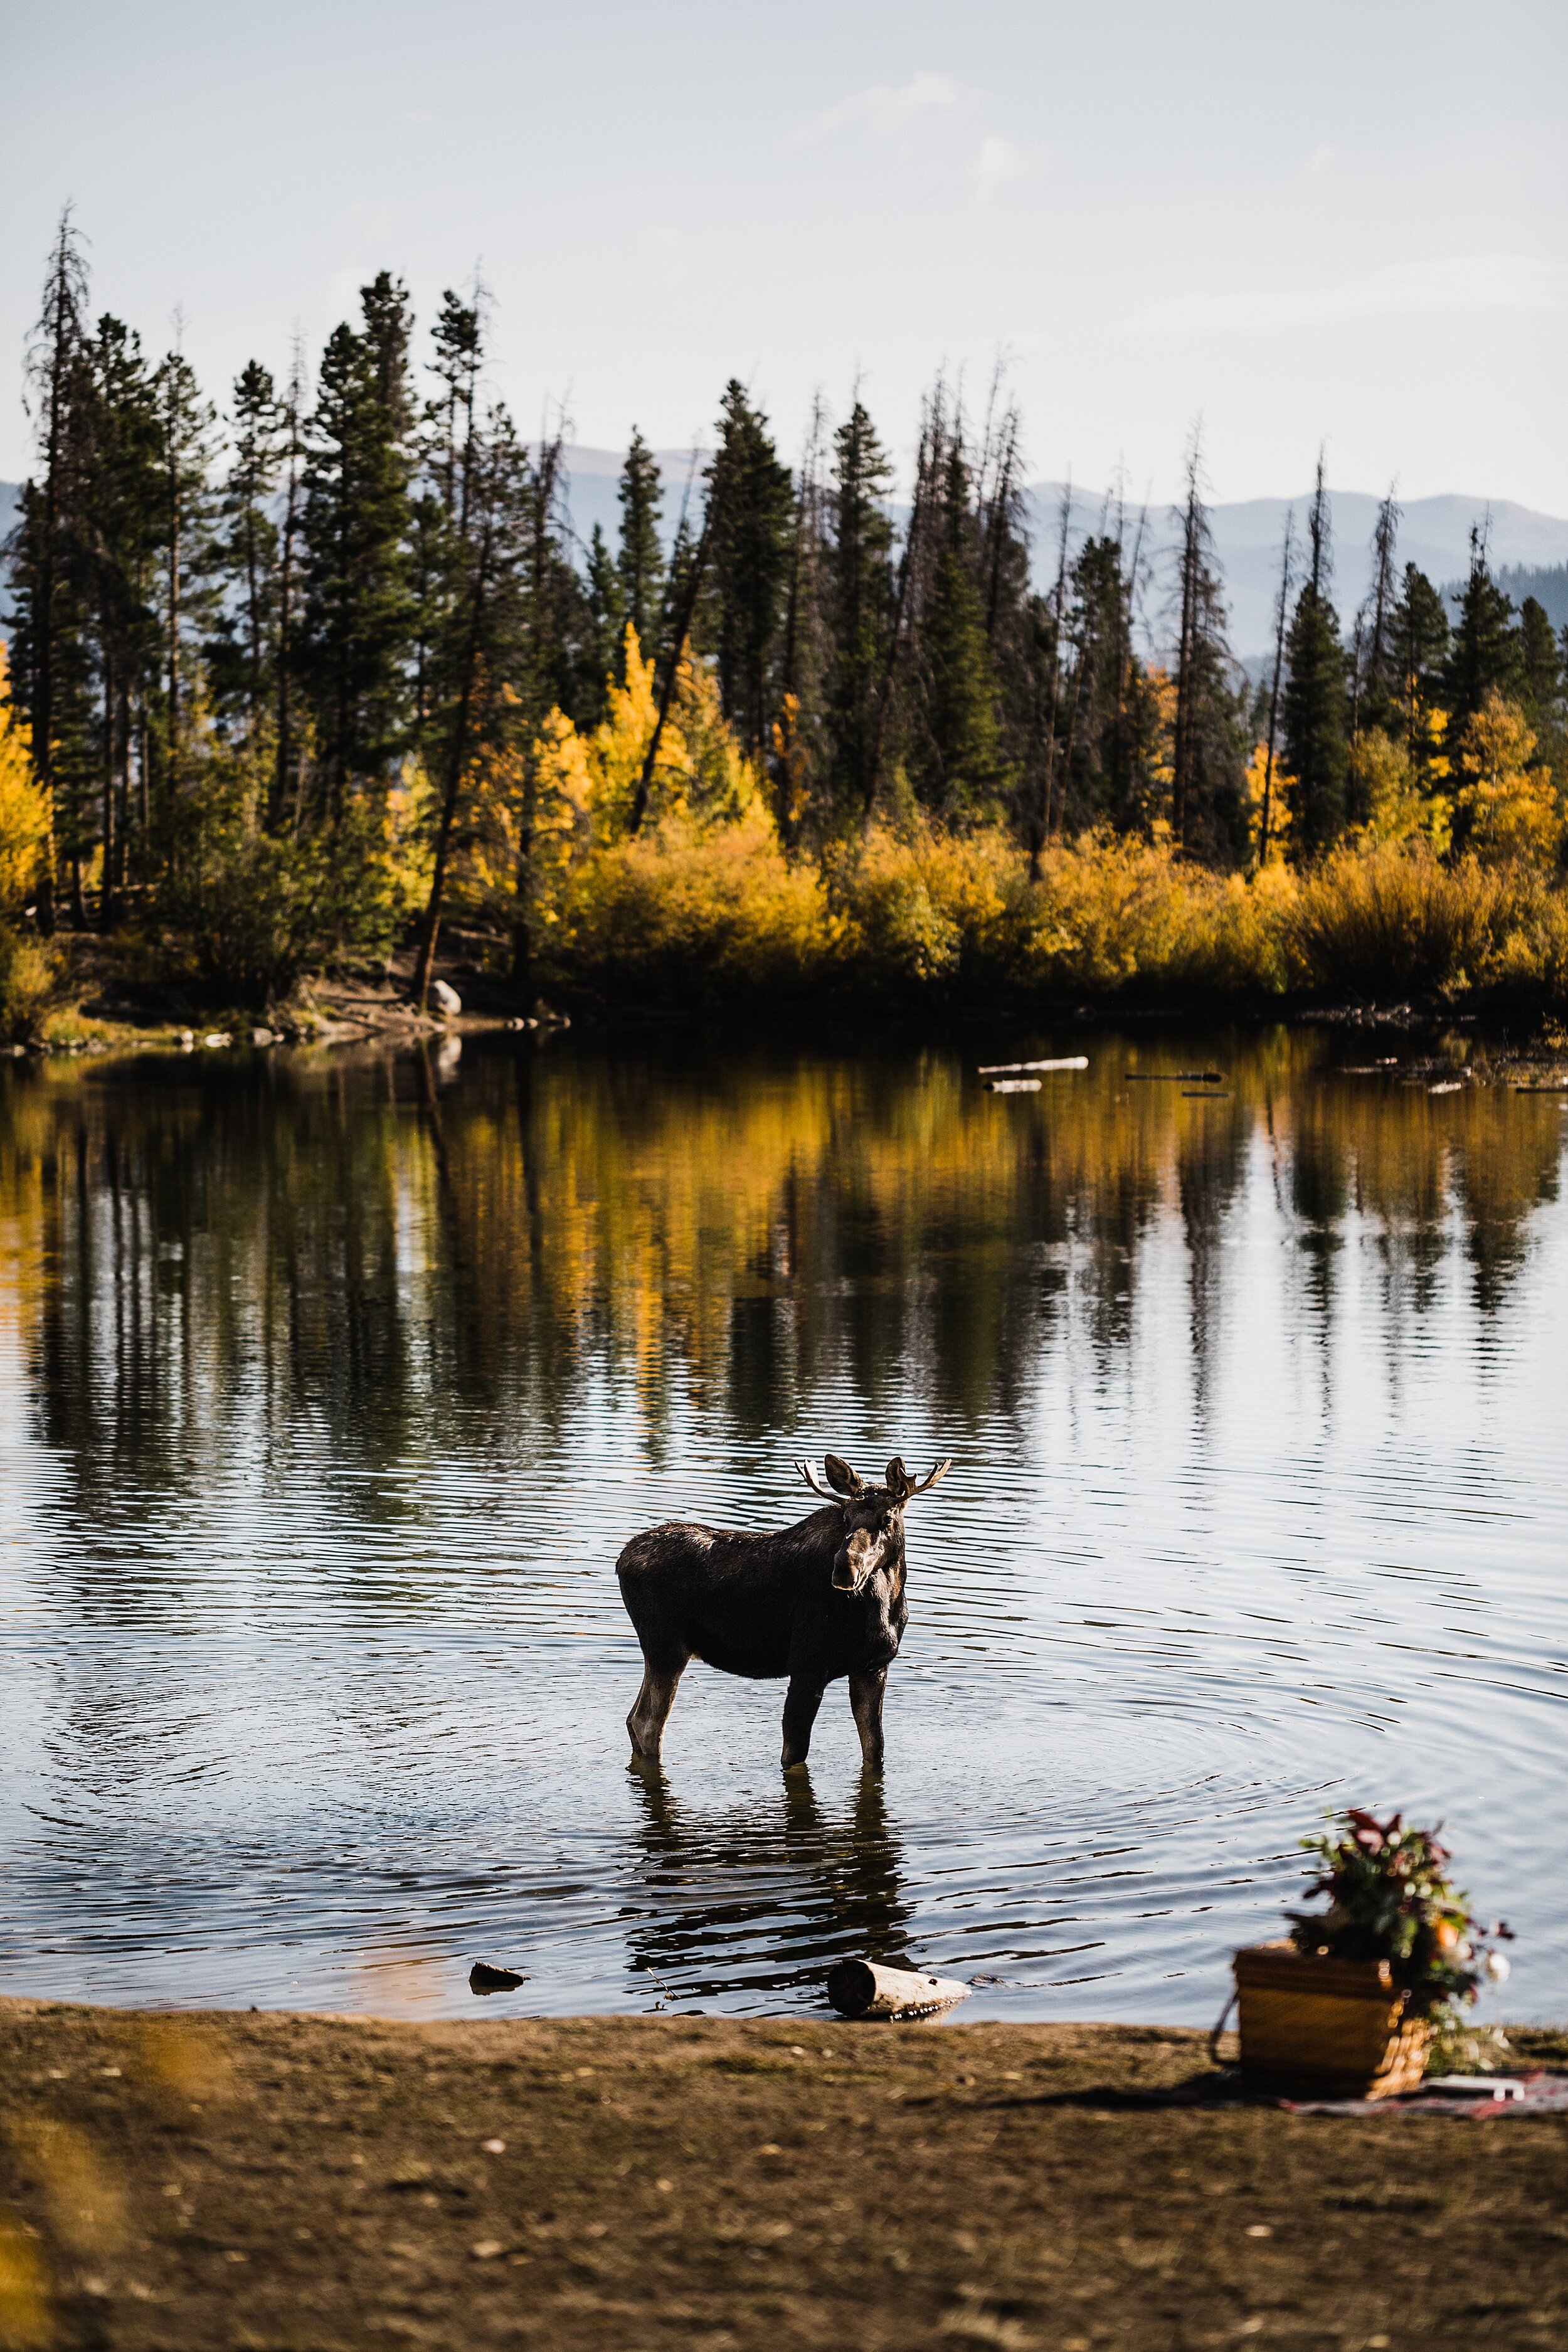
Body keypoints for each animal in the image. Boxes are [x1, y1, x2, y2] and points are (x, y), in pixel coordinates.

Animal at [620, 1449, 950, 1769]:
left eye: (887, 1519)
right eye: (846, 1517)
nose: (844, 1569)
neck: (885, 1607)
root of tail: (621, 1561)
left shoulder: (873, 1668)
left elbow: (875, 1748)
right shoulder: (807, 1666)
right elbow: (795, 1753)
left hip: (663, 1651)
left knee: (634, 1718)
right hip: (667, 1647)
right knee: (647, 1723)